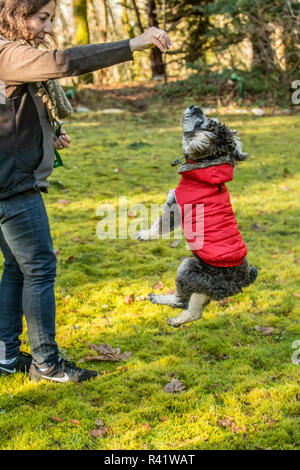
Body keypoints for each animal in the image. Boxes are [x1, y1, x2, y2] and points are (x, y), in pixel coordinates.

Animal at [137, 105, 256, 326]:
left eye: (202, 123)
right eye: (207, 118)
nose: (195, 107)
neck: (208, 169)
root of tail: (243, 282)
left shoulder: (174, 206)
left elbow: (159, 226)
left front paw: (145, 235)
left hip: (188, 269)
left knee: (180, 301)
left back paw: (160, 299)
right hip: (203, 286)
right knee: (194, 311)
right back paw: (176, 320)